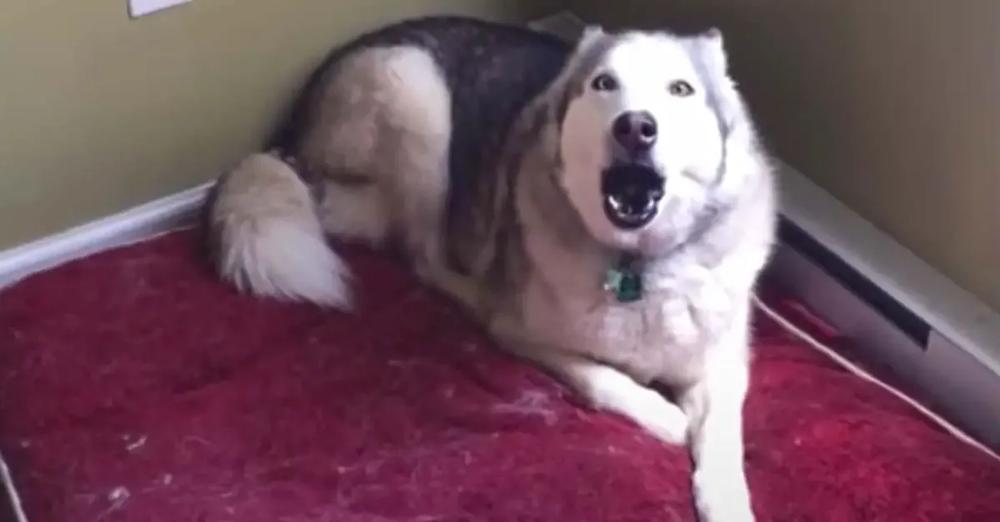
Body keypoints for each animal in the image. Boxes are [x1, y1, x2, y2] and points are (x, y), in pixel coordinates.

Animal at [207, 16, 776, 520]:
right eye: (604, 83)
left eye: (681, 89)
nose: (636, 127)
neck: (637, 263)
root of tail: (293, 130)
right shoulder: (525, 333)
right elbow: (600, 377)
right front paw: (664, 416)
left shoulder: (724, 364)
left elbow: (724, 437)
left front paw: (727, 500)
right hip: (417, 100)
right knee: (425, 257)